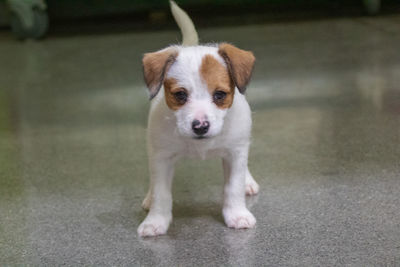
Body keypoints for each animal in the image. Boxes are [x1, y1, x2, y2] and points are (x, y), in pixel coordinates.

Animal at [137, 0, 260, 239]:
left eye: (220, 95)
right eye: (180, 95)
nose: (200, 126)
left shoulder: (235, 153)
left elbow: (233, 186)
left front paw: (237, 214)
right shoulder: (162, 158)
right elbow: (161, 193)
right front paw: (156, 221)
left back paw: (248, 182)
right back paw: (148, 196)